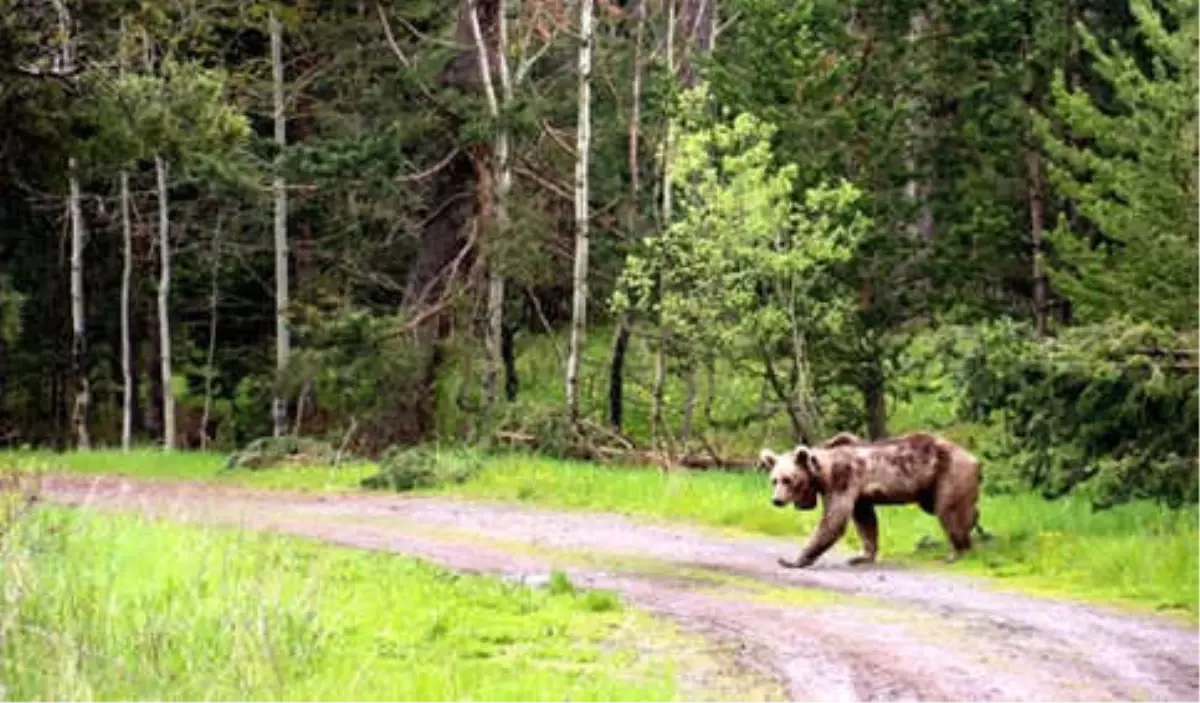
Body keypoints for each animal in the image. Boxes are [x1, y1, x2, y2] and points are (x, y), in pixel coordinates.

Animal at [763, 429, 979, 566]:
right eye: (774, 480)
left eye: (788, 480)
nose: (777, 500)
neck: (822, 473)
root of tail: (973, 457)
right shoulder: (860, 496)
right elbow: (865, 522)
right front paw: (862, 556)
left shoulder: (843, 480)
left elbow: (833, 520)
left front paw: (792, 560)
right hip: (930, 488)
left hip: (949, 474)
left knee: (949, 510)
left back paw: (958, 550)